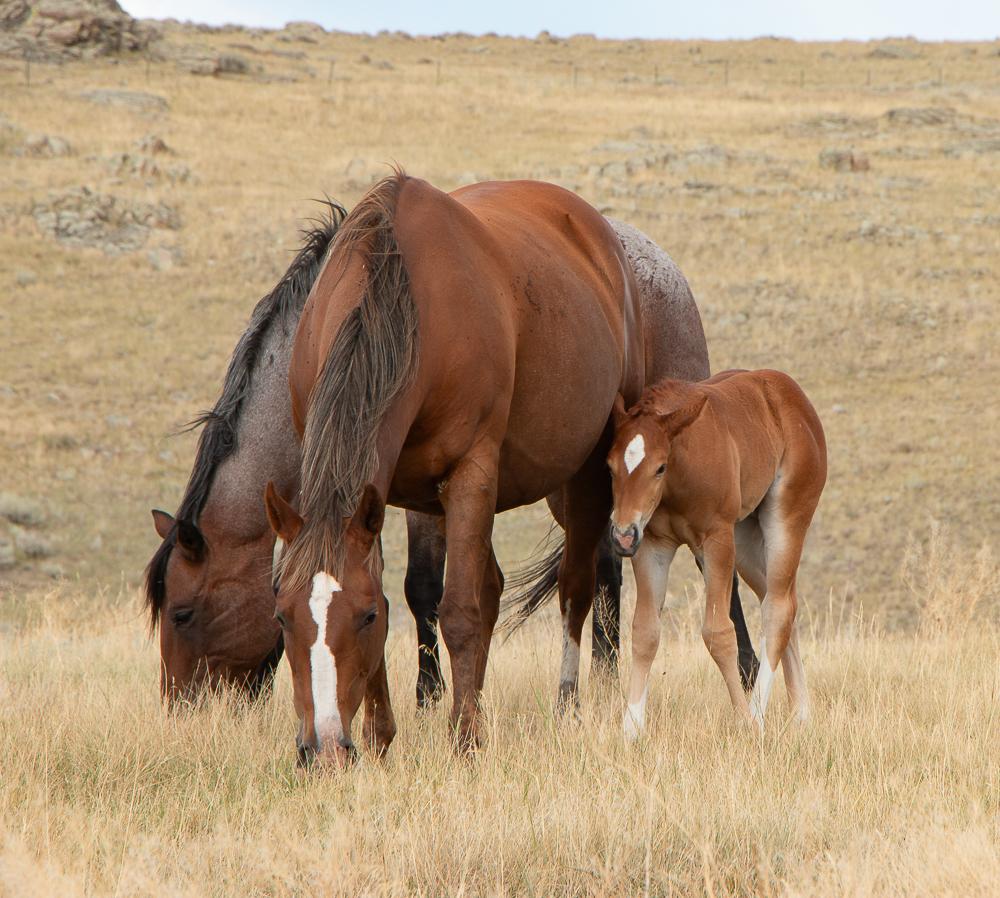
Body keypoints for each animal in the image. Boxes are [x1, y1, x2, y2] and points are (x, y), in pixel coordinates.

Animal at [144, 200, 759, 707]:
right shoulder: (396, 493)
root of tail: (660, 266)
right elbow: (421, 587)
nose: (180, 709)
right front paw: (428, 695)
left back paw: (737, 672)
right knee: (606, 563)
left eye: (183, 612)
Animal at [606, 370, 826, 736]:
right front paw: (631, 729)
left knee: (778, 608)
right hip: (746, 539)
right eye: (609, 466)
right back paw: (801, 713)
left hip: (786, 517)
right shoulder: (651, 545)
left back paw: (759, 715)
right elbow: (645, 631)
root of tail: (792, 393)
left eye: (660, 467)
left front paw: (744, 721)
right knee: (781, 600)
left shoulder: (716, 541)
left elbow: (718, 633)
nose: (623, 536)